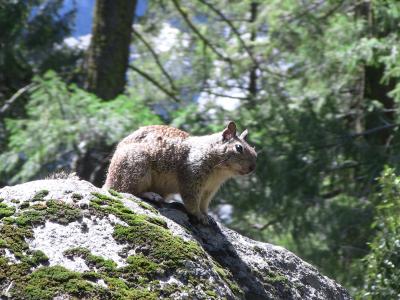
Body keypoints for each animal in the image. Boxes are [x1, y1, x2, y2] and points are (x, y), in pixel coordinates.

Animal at [104, 121, 256, 223]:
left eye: (254, 149)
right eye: (238, 148)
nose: (252, 168)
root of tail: (108, 182)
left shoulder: (210, 189)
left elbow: (204, 203)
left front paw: (207, 215)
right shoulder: (192, 175)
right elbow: (191, 200)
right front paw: (199, 216)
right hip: (136, 168)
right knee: (126, 190)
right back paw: (151, 195)